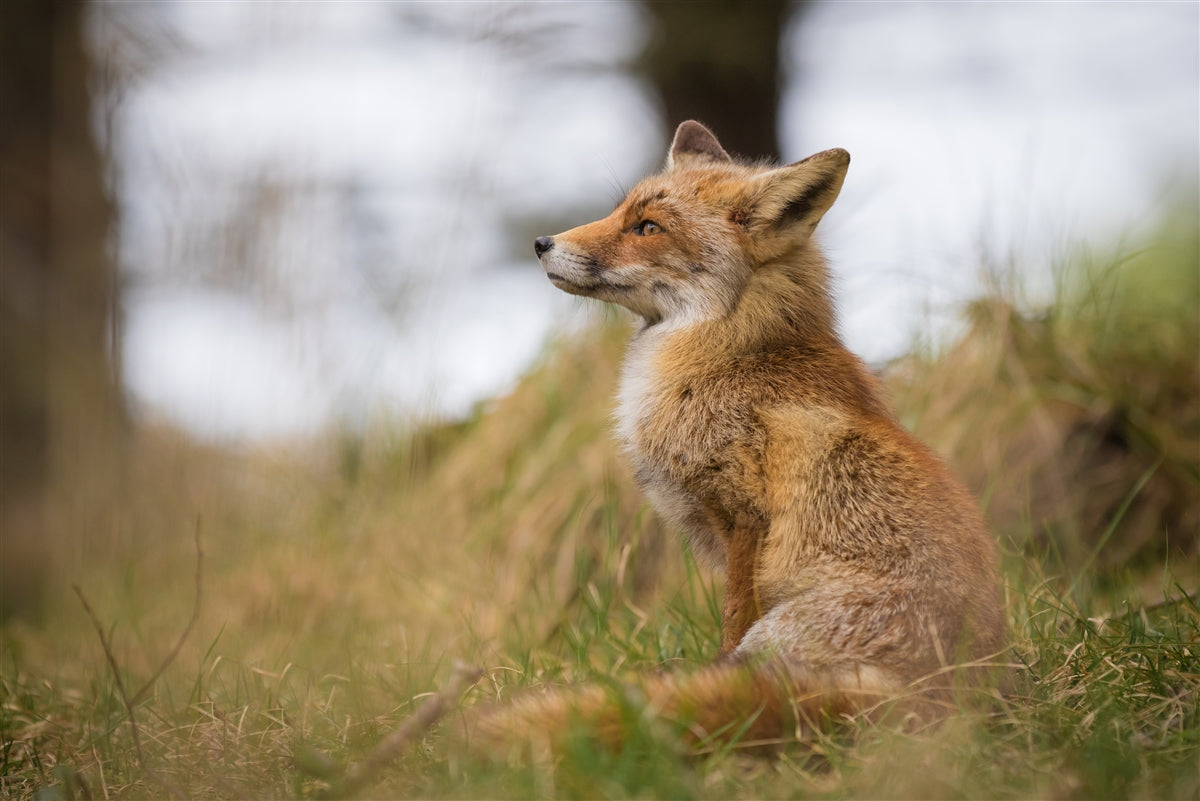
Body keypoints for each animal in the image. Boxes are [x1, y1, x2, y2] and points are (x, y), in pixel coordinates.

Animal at [458, 120, 1003, 757]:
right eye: (619, 210)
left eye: (648, 228)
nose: (541, 242)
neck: (733, 351)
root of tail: (931, 702)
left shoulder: (746, 518)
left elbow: (731, 620)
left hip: (780, 633)